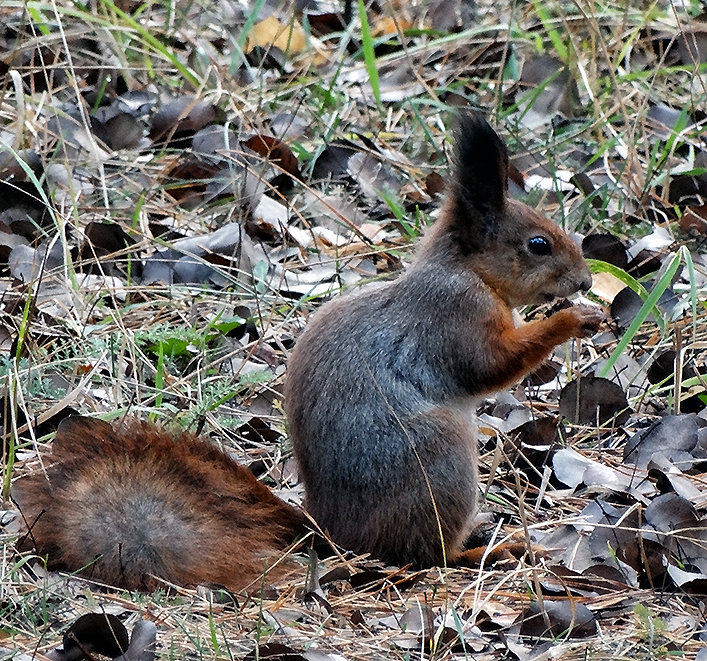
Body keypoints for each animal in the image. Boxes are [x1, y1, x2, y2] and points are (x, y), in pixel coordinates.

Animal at [11, 111, 604, 592]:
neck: (466, 272)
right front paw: (573, 320)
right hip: (440, 464)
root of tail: (337, 536)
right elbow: (490, 367)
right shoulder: (453, 319)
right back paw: (486, 550)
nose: (584, 280)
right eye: (538, 245)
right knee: (425, 557)